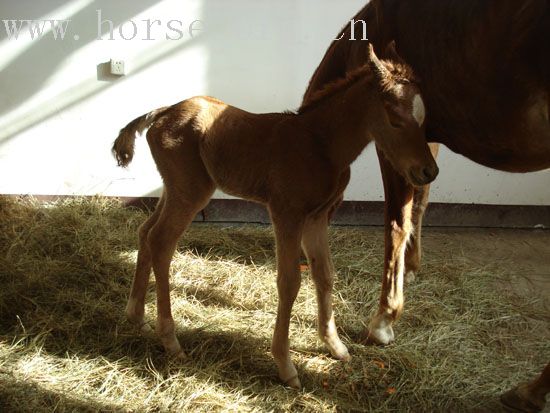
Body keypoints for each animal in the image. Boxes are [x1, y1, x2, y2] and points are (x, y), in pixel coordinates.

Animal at [112, 44, 440, 386]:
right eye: (395, 118)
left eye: (424, 119)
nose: (429, 171)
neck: (320, 144)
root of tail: (161, 112)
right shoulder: (287, 213)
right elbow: (290, 281)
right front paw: (286, 365)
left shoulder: (316, 217)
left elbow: (325, 274)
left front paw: (335, 347)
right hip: (190, 192)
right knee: (162, 242)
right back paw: (170, 340)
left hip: (174, 188)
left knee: (145, 233)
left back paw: (137, 316)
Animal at [304, 0, 548, 344]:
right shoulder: (424, 142)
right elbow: (420, 203)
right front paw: (411, 268)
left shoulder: (393, 148)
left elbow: (396, 223)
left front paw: (384, 320)